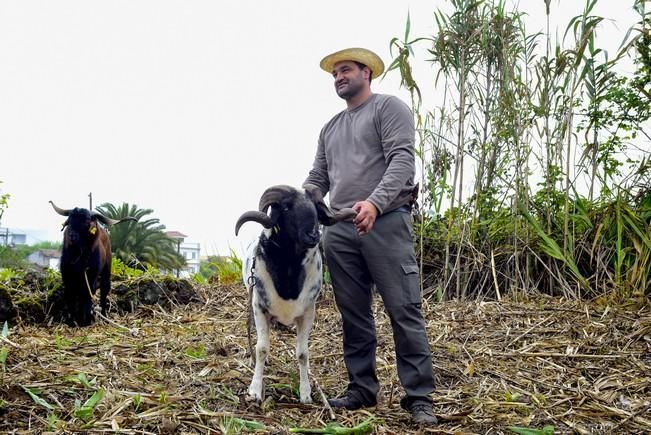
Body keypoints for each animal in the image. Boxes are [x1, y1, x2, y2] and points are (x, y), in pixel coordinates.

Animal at [236, 185, 356, 406]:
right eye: (286, 207)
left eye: (316, 207)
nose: (313, 235)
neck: (289, 270)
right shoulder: (259, 308)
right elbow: (261, 348)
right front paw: (255, 391)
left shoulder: (308, 313)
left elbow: (302, 353)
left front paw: (306, 394)